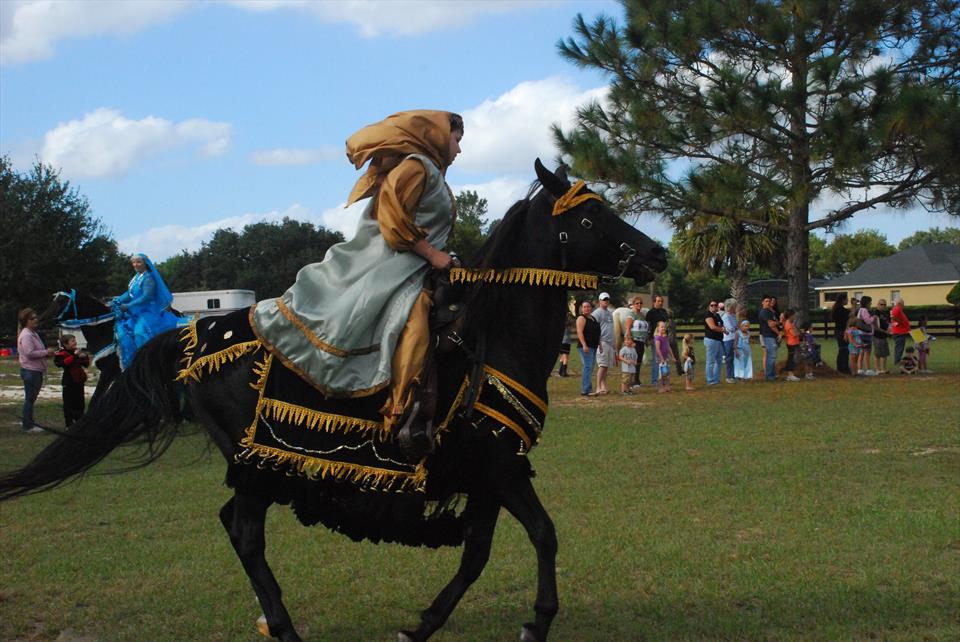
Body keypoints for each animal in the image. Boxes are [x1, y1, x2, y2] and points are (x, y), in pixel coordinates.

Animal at [0, 160, 667, 642]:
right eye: (591, 218)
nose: (657, 254)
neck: (492, 336)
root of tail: (194, 339)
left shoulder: (487, 471)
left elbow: (479, 552)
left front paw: (424, 625)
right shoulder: (499, 467)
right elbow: (543, 534)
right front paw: (537, 620)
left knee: (235, 526)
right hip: (255, 463)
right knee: (245, 532)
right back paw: (285, 628)